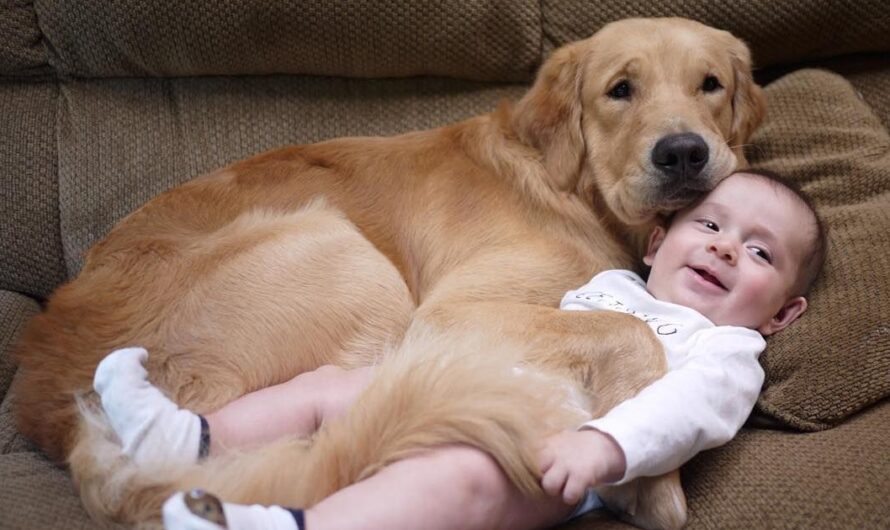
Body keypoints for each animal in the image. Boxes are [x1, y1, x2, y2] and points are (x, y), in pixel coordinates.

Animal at [12, 16, 764, 528]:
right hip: (344, 256)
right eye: (619, 90)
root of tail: (64, 418)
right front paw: (654, 486)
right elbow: (630, 332)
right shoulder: (451, 312)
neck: (569, 187)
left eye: (710, 85)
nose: (683, 153)